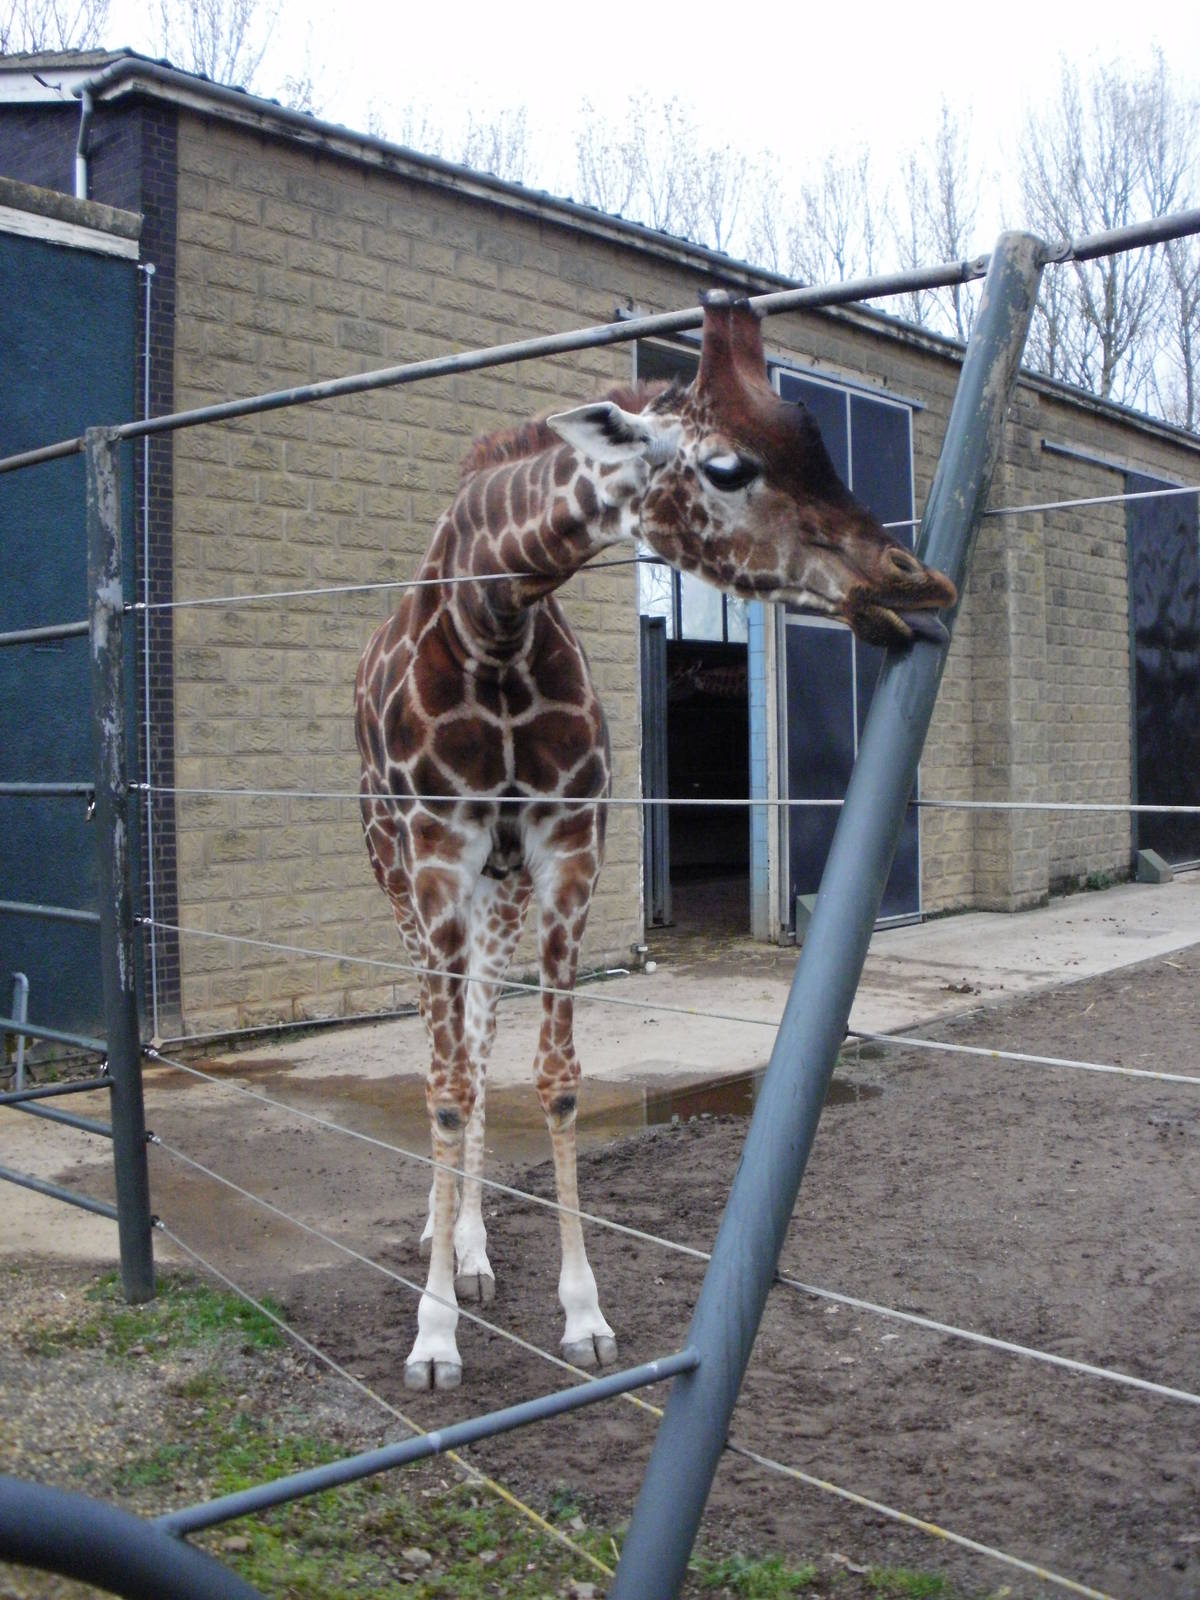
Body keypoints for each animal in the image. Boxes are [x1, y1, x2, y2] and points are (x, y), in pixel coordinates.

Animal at [354, 292, 957, 1391]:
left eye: (816, 438)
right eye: (728, 467)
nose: (916, 583)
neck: (492, 621)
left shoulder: (566, 853)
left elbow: (553, 1081)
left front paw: (581, 1316)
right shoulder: (433, 857)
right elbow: (448, 1085)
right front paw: (431, 1340)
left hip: (498, 892)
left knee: (480, 1031)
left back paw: (471, 1251)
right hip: (403, 877)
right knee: (445, 1050)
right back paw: (441, 1247)